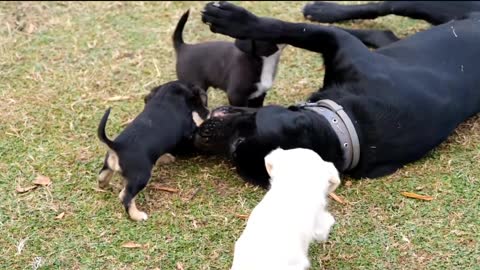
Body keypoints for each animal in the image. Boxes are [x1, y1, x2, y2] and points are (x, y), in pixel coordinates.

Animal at [97, 81, 208, 220]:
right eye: (200, 101)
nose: (208, 112)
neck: (166, 96)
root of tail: (117, 145)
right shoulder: (189, 128)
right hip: (141, 177)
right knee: (125, 196)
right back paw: (138, 216)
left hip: (108, 166)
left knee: (102, 176)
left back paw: (104, 185)